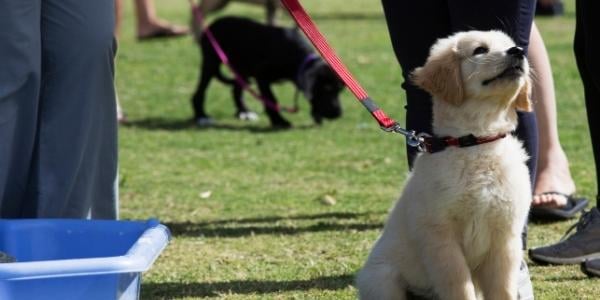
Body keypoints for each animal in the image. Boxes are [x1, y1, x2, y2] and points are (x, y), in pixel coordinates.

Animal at [192, 16, 342, 127]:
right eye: (327, 89)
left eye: (339, 91)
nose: (338, 114)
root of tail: (210, 26)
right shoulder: (262, 76)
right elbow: (271, 99)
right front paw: (279, 121)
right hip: (211, 63)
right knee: (200, 92)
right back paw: (202, 116)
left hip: (242, 70)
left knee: (236, 90)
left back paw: (244, 112)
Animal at [356, 31, 528, 300]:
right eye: (480, 50)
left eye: (511, 44)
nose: (518, 51)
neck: (477, 143)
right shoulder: (440, 237)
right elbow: (459, 286)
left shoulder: (506, 237)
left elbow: (503, 289)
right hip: (382, 280)